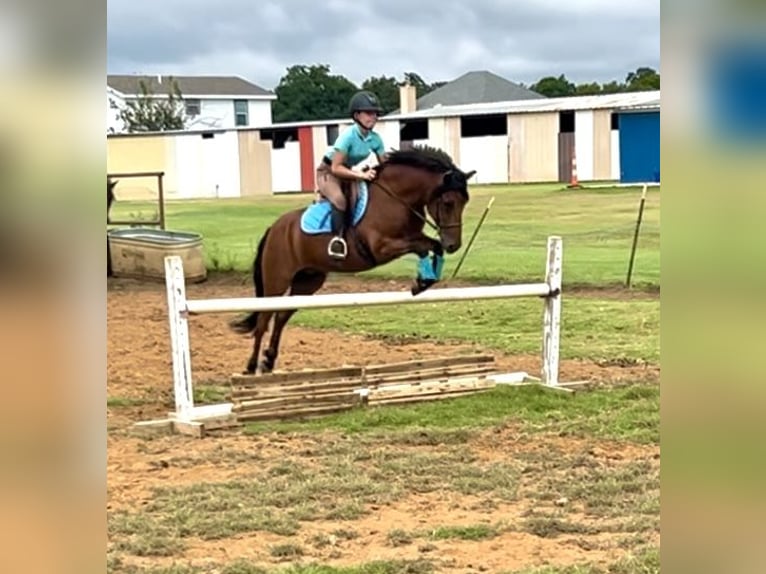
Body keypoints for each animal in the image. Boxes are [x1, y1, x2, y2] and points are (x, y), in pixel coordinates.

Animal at [229, 145, 476, 375]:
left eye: (465, 202)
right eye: (448, 203)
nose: (454, 245)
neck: (396, 197)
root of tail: (274, 228)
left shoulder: (412, 237)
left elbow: (432, 246)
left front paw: (425, 280)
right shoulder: (382, 247)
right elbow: (423, 248)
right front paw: (421, 281)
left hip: (307, 281)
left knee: (281, 316)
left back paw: (269, 360)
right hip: (277, 280)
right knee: (264, 319)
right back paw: (251, 366)